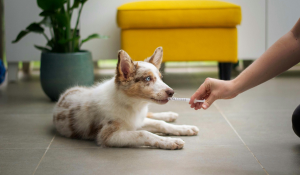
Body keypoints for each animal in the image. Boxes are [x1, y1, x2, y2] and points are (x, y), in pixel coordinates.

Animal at [53, 47, 199, 150]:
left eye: (161, 78)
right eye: (148, 78)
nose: (171, 92)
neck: (132, 104)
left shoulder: (137, 121)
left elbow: (160, 124)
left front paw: (184, 129)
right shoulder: (108, 136)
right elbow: (144, 133)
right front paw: (170, 141)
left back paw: (170, 115)